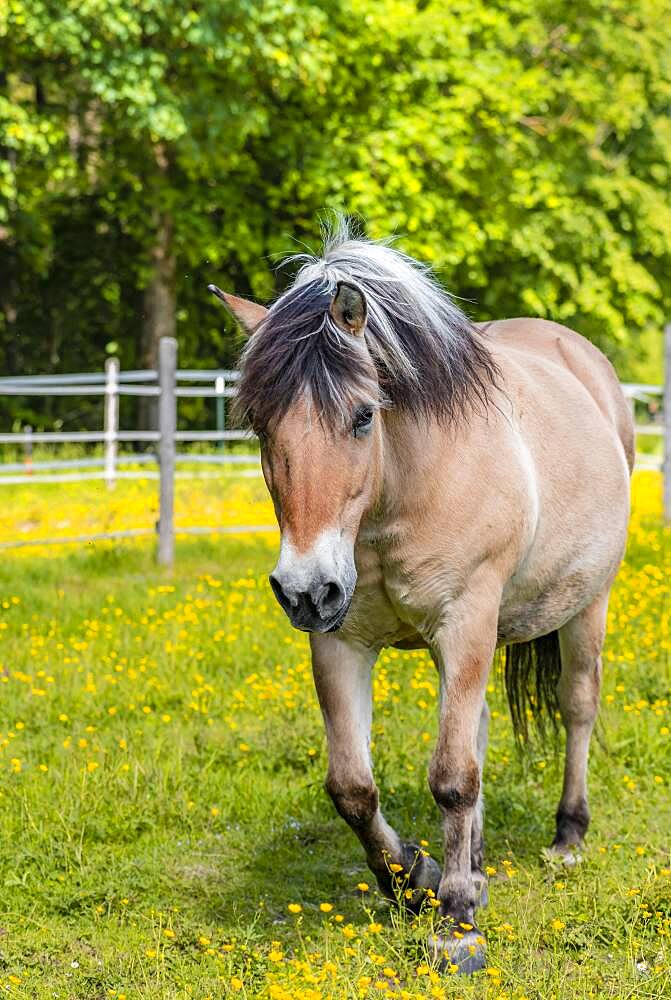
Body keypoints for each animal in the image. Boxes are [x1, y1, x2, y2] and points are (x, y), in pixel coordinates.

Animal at [211, 217, 636, 968]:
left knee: (576, 707)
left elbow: (451, 776)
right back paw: (477, 862)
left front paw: (457, 922)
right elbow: (352, 787)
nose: (302, 589)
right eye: (260, 425)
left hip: (588, 604)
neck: (399, 493)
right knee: (480, 728)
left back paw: (566, 837)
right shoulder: (339, 640)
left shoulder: (465, 622)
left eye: (361, 417)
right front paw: (418, 877)